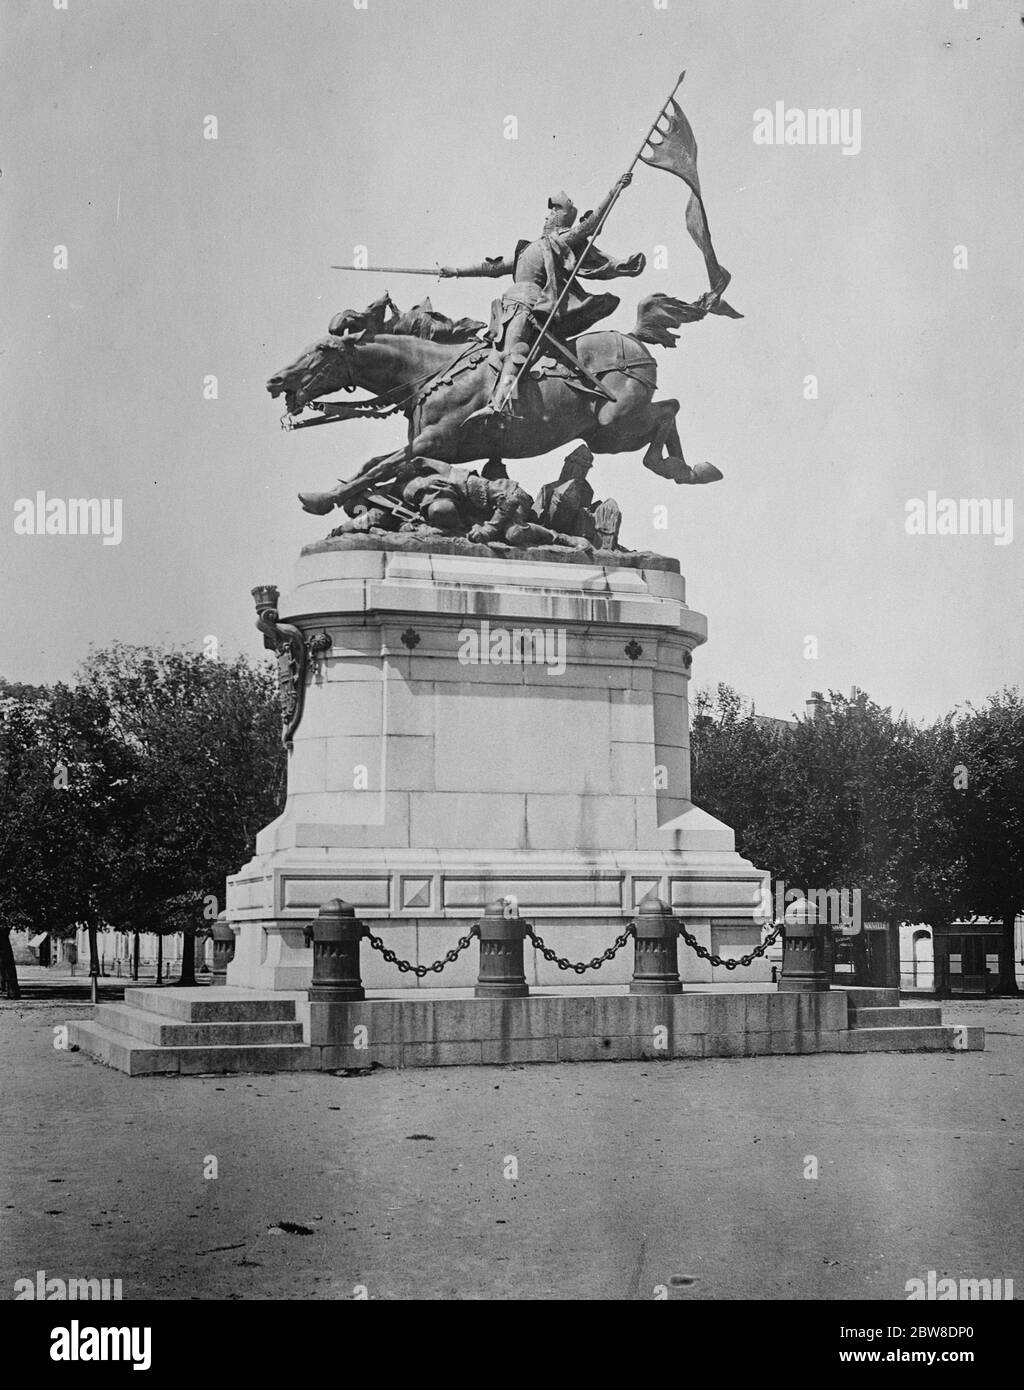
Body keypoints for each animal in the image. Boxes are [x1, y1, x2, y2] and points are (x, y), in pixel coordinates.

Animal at [268, 304, 722, 517]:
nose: (275, 380)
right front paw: (340, 493)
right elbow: (375, 464)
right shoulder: (431, 447)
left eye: (322, 350)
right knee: (668, 409)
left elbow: (381, 466)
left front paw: (320, 498)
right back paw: (689, 469)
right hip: (606, 433)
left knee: (669, 410)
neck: (429, 373)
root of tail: (631, 337)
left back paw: (681, 468)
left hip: (614, 427)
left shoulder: (436, 441)